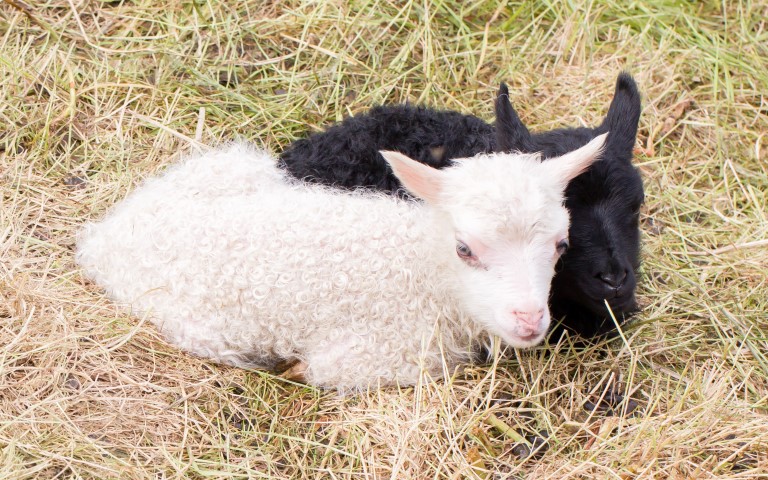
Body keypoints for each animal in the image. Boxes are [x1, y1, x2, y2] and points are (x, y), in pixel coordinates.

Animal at [76, 135, 607, 390]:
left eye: (561, 244)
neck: (420, 269)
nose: (529, 320)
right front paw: (293, 372)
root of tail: (105, 236)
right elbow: (317, 371)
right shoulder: (370, 357)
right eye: (464, 249)